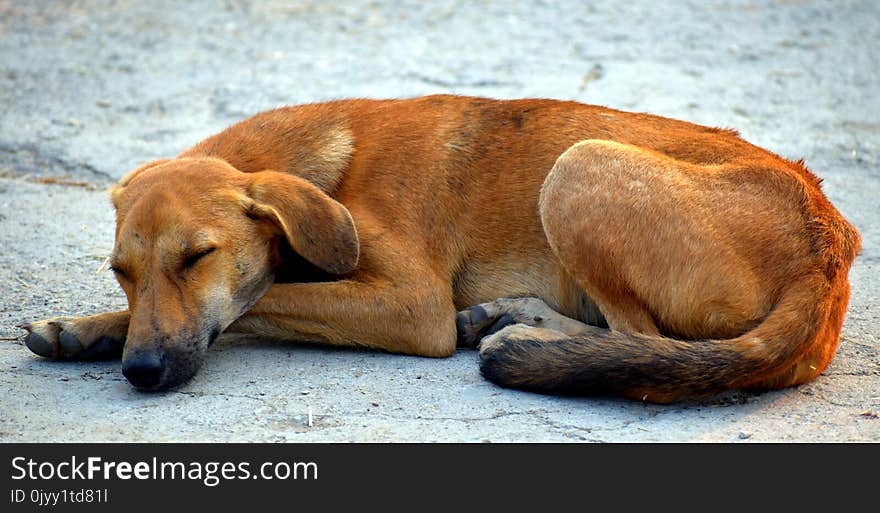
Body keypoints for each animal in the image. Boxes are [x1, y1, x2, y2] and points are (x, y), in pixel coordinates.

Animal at [18, 95, 860, 400]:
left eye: (199, 257)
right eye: (121, 272)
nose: (142, 372)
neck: (332, 167)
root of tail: (828, 245)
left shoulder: (412, 304)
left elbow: (263, 299)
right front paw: (84, 328)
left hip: (578, 166)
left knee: (646, 343)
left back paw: (532, 338)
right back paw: (515, 316)